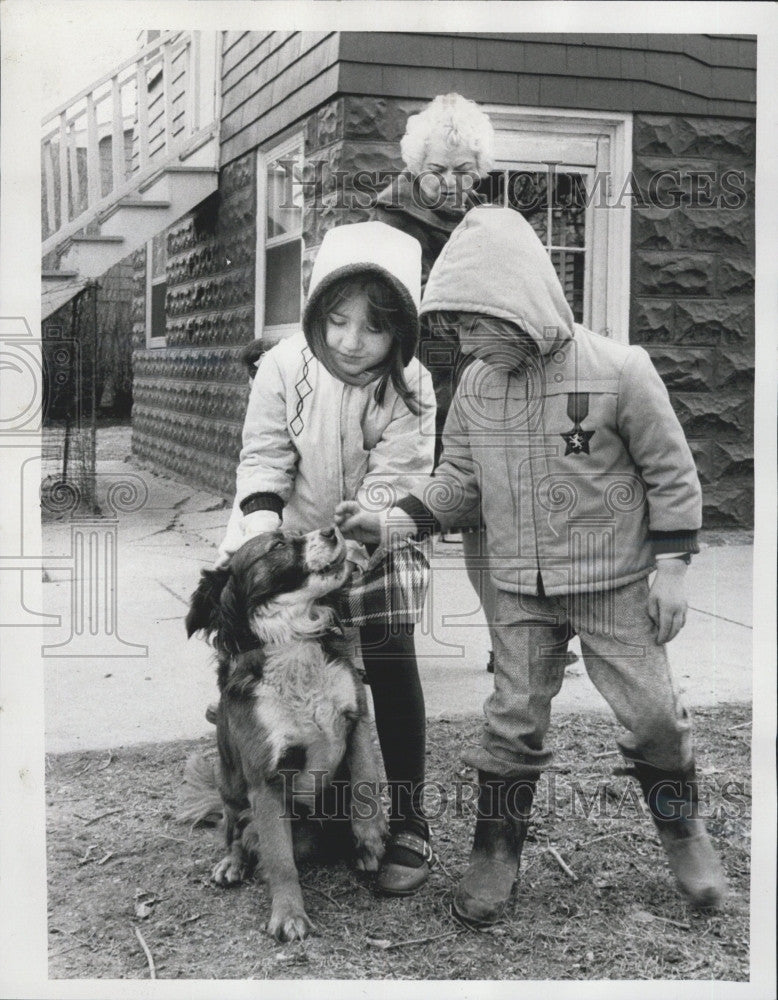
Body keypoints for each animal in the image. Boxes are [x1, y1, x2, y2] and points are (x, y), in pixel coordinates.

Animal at [183, 528, 388, 940]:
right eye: (277, 545)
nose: (332, 530)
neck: (293, 638)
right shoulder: (267, 779)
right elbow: (279, 859)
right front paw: (289, 914)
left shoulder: (356, 720)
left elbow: (366, 781)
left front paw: (370, 837)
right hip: (232, 789)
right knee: (235, 830)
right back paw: (232, 862)